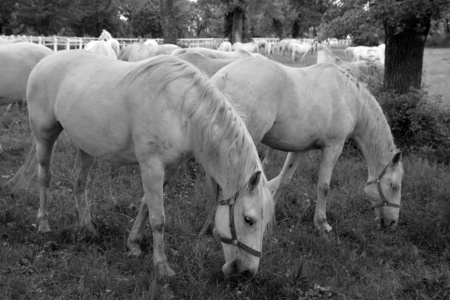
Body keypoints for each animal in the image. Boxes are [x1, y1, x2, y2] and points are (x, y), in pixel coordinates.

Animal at [18, 51, 274, 278]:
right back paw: (43, 223)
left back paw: (88, 228)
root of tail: (44, 61)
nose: (247, 272)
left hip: (86, 147)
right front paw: (161, 266)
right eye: (248, 219)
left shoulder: (169, 169)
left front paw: (133, 245)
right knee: (44, 177)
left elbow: (144, 206)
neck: (182, 112)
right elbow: (158, 219)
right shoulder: (151, 166)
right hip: (45, 136)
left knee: (79, 184)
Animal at [204, 58, 404, 237]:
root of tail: (223, 77)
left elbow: (284, 179)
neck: (349, 98)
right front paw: (322, 224)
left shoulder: (299, 149)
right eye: (394, 186)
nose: (392, 223)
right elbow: (324, 186)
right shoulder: (333, 147)